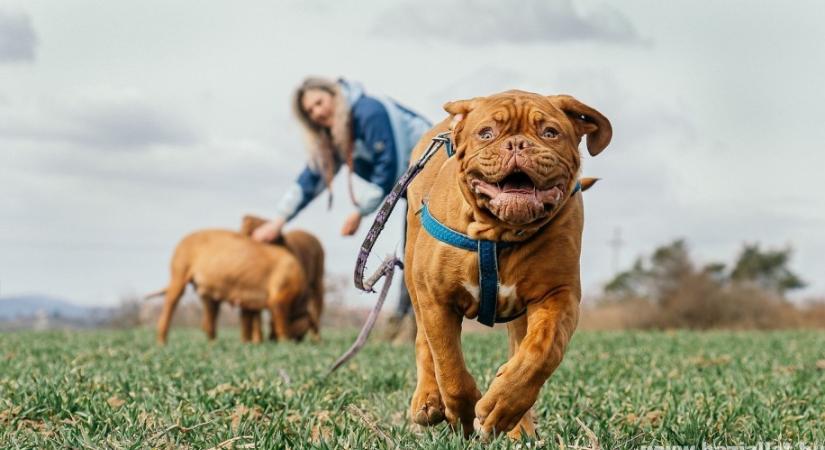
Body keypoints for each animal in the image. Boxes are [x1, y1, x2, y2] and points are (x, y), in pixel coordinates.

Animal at [402, 90, 608, 440]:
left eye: (550, 133)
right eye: (486, 134)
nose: (516, 144)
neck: (498, 233)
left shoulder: (558, 295)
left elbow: (541, 352)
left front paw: (501, 407)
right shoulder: (437, 299)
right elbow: (449, 365)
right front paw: (463, 415)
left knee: (519, 349)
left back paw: (517, 425)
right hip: (414, 276)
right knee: (424, 344)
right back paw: (428, 401)